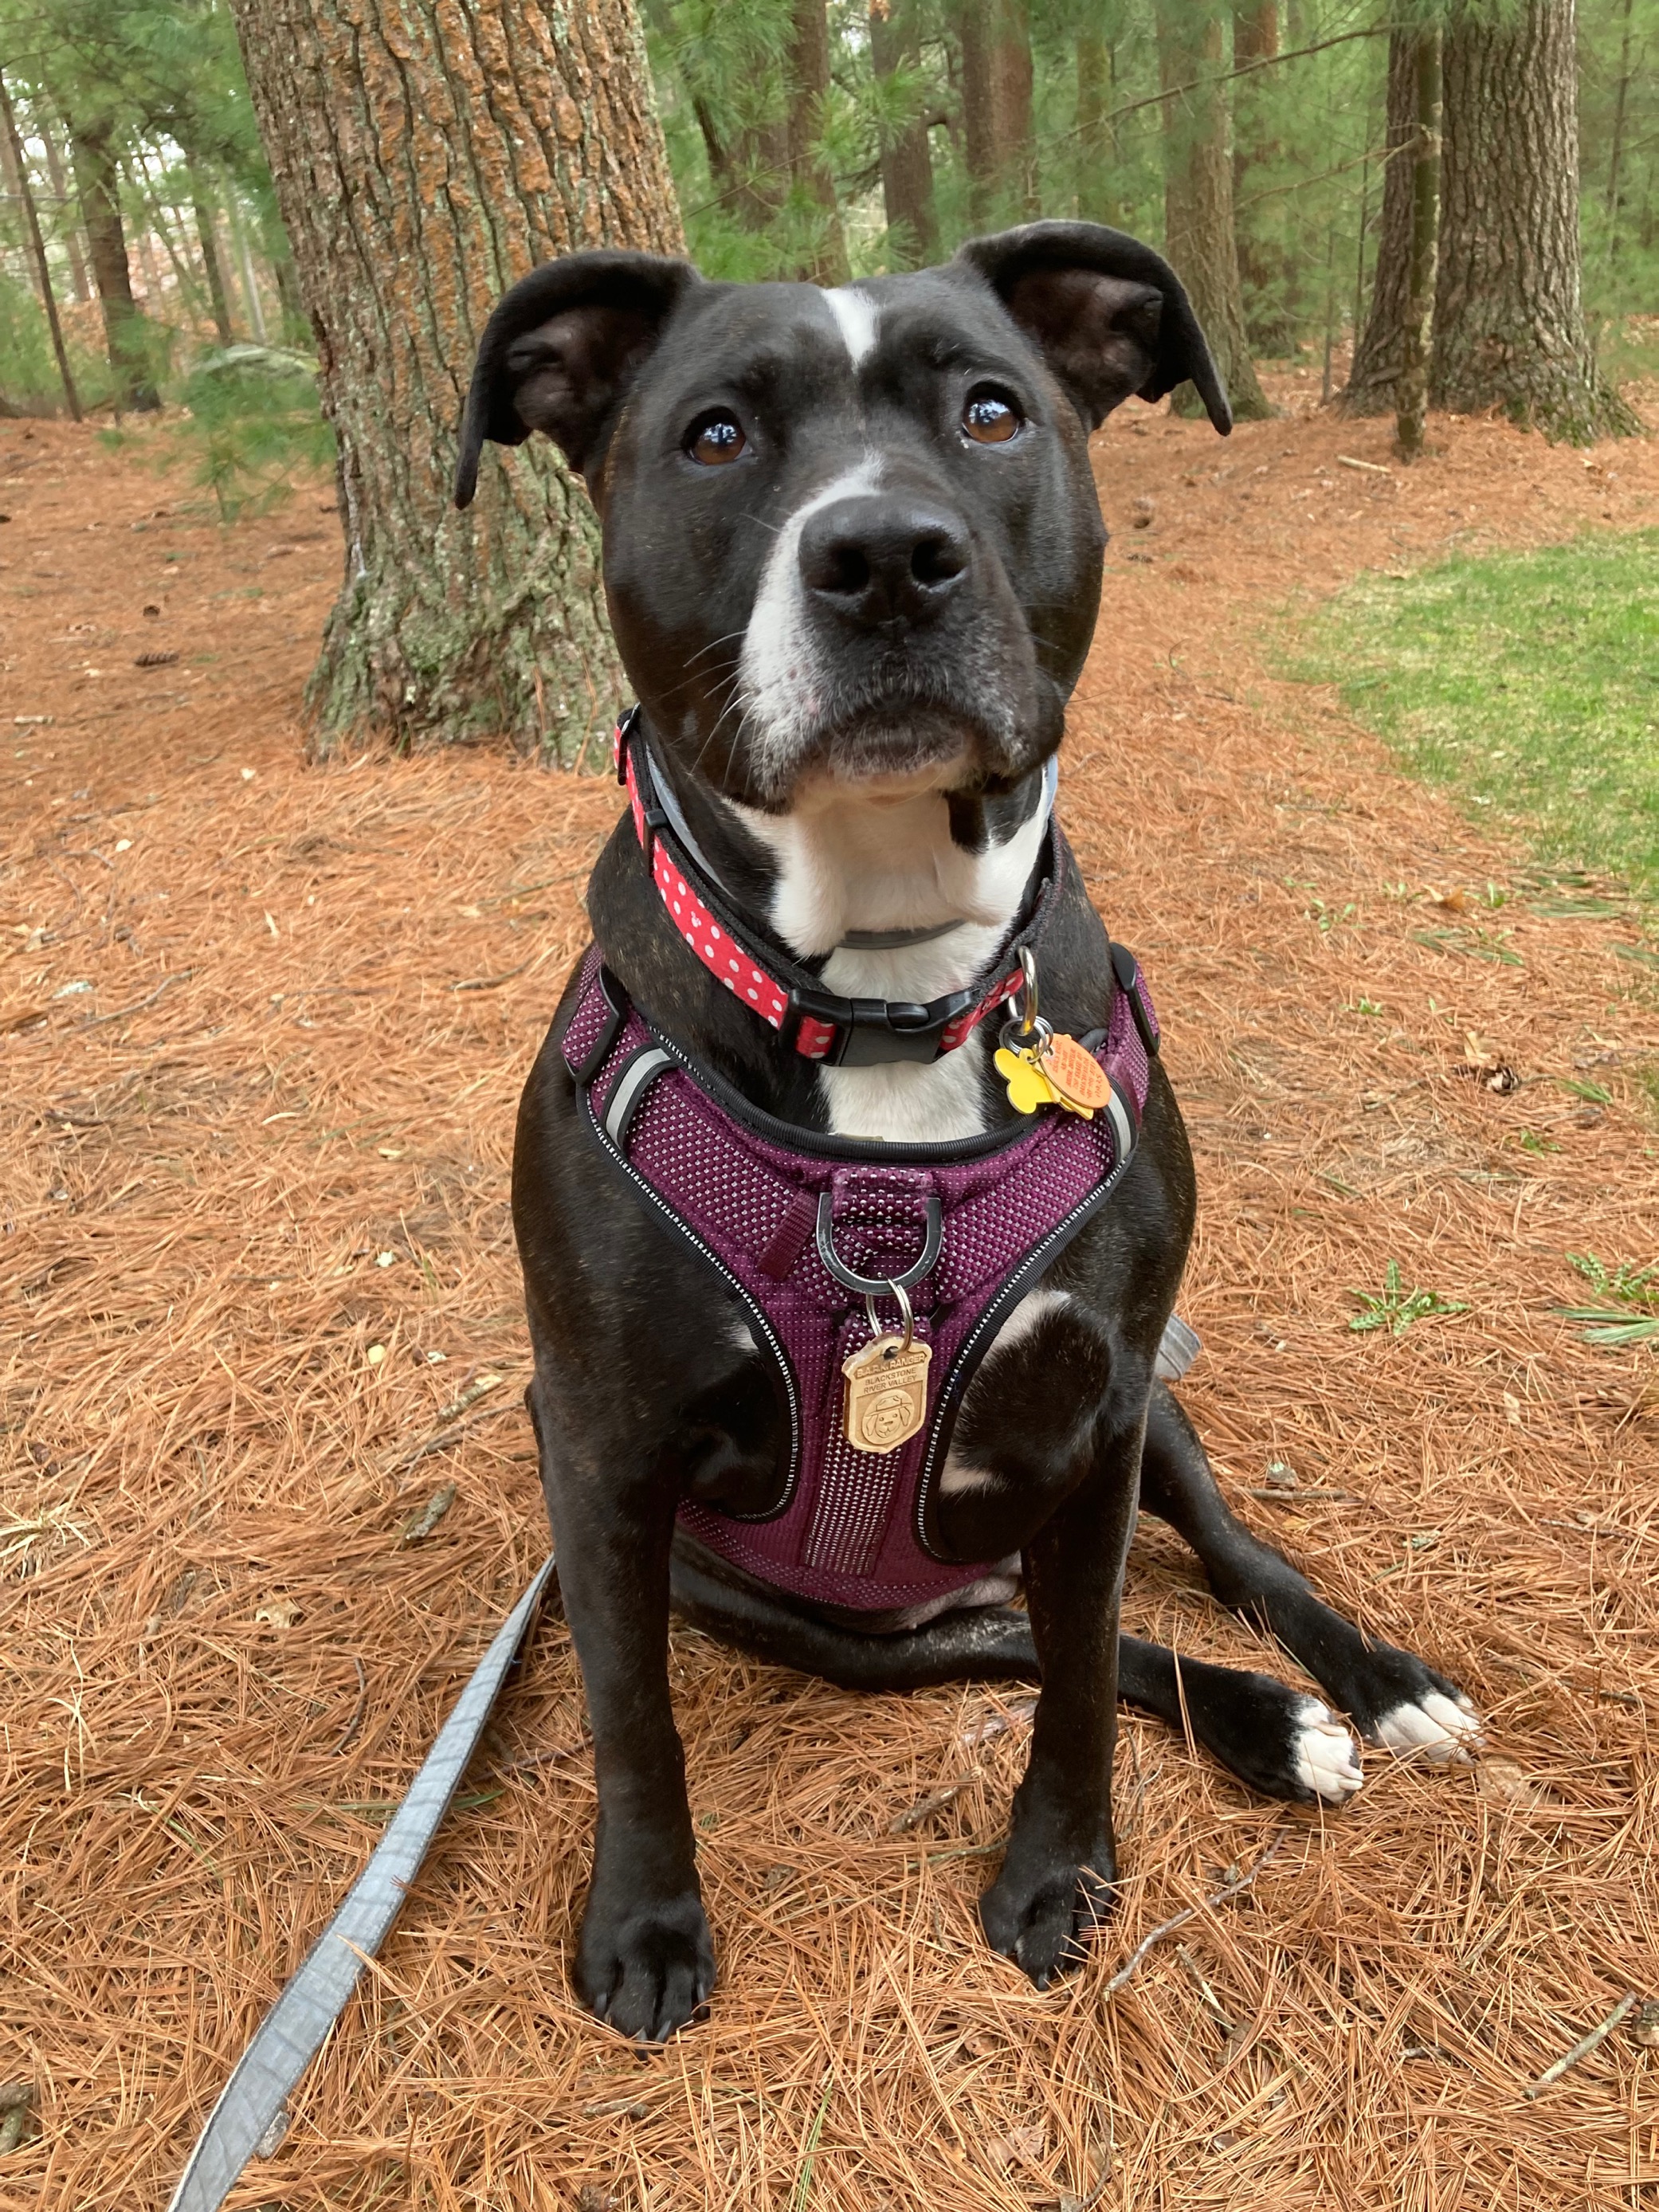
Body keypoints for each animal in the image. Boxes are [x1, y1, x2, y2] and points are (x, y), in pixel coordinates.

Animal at [455, 220, 1477, 2034]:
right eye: (715, 434)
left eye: (992, 410)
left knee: (1206, 1568)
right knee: (1020, 1638)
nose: (883, 556)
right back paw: (1264, 1720)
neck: (888, 985)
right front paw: (645, 1918)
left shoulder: (1097, 1398)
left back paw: (1356, 1683)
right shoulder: (597, 1441)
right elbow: (632, 1714)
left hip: (1149, 1431)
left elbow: (1074, 1686)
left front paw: (1058, 1871)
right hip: (812, 1610)